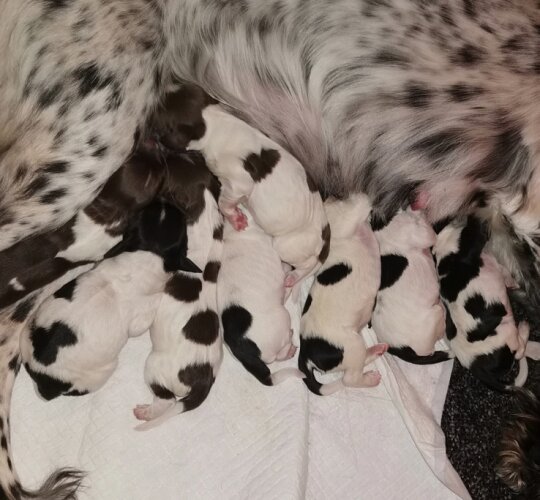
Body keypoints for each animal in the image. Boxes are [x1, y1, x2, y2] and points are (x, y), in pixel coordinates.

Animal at [153, 84, 330, 292]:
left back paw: (293, 277)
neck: (215, 121)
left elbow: (224, 203)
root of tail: (325, 236)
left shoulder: (239, 183)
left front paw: (235, 218)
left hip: (287, 245)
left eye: (161, 119)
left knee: (307, 264)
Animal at [298, 193, 386, 396]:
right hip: (352, 346)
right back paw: (369, 379)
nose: (331, 196)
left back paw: (375, 351)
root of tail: (305, 349)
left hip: (354, 348)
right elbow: (362, 202)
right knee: (349, 379)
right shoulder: (346, 220)